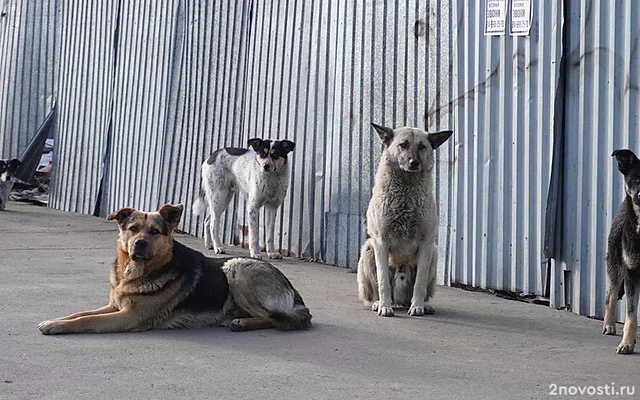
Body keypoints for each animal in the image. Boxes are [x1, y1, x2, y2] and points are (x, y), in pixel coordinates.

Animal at [37, 203, 312, 334]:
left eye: (154, 232)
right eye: (133, 229)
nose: (139, 244)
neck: (136, 272)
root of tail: (295, 293)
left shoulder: (128, 317)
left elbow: (86, 321)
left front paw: (55, 327)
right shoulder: (114, 306)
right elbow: (79, 314)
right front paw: (54, 320)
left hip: (236, 268)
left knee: (277, 318)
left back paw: (242, 323)